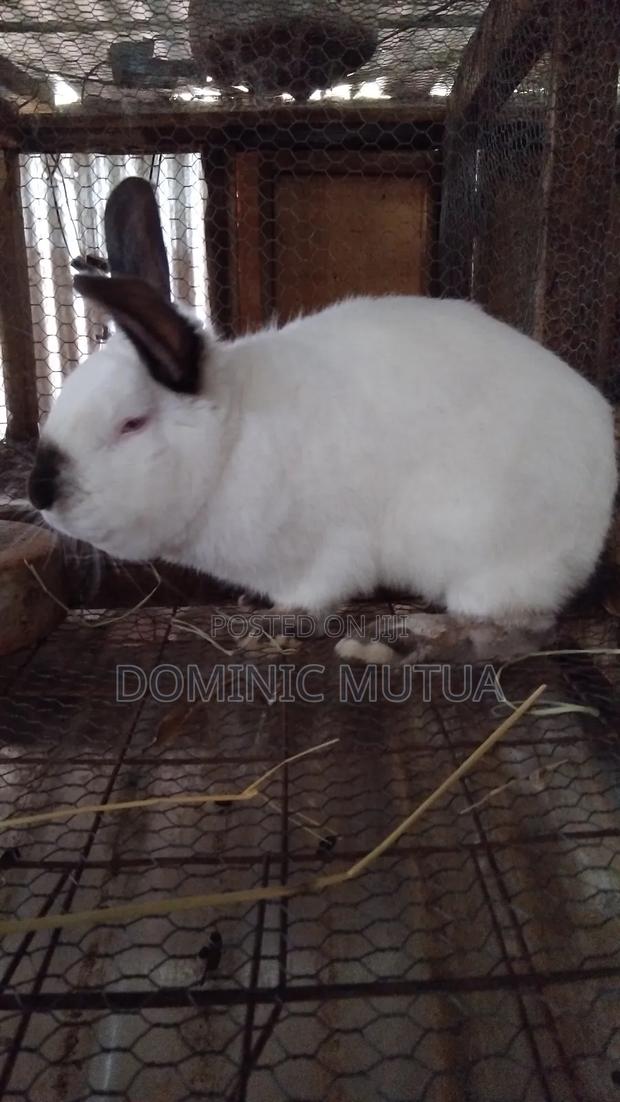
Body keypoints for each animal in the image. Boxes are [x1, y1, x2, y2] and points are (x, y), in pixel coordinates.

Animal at [28, 177, 617, 661]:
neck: (232, 442)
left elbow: (313, 600)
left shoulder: (323, 556)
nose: (39, 492)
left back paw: (412, 638)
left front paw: (269, 625)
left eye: (130, 424)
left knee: (518, 628)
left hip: (488, 554)